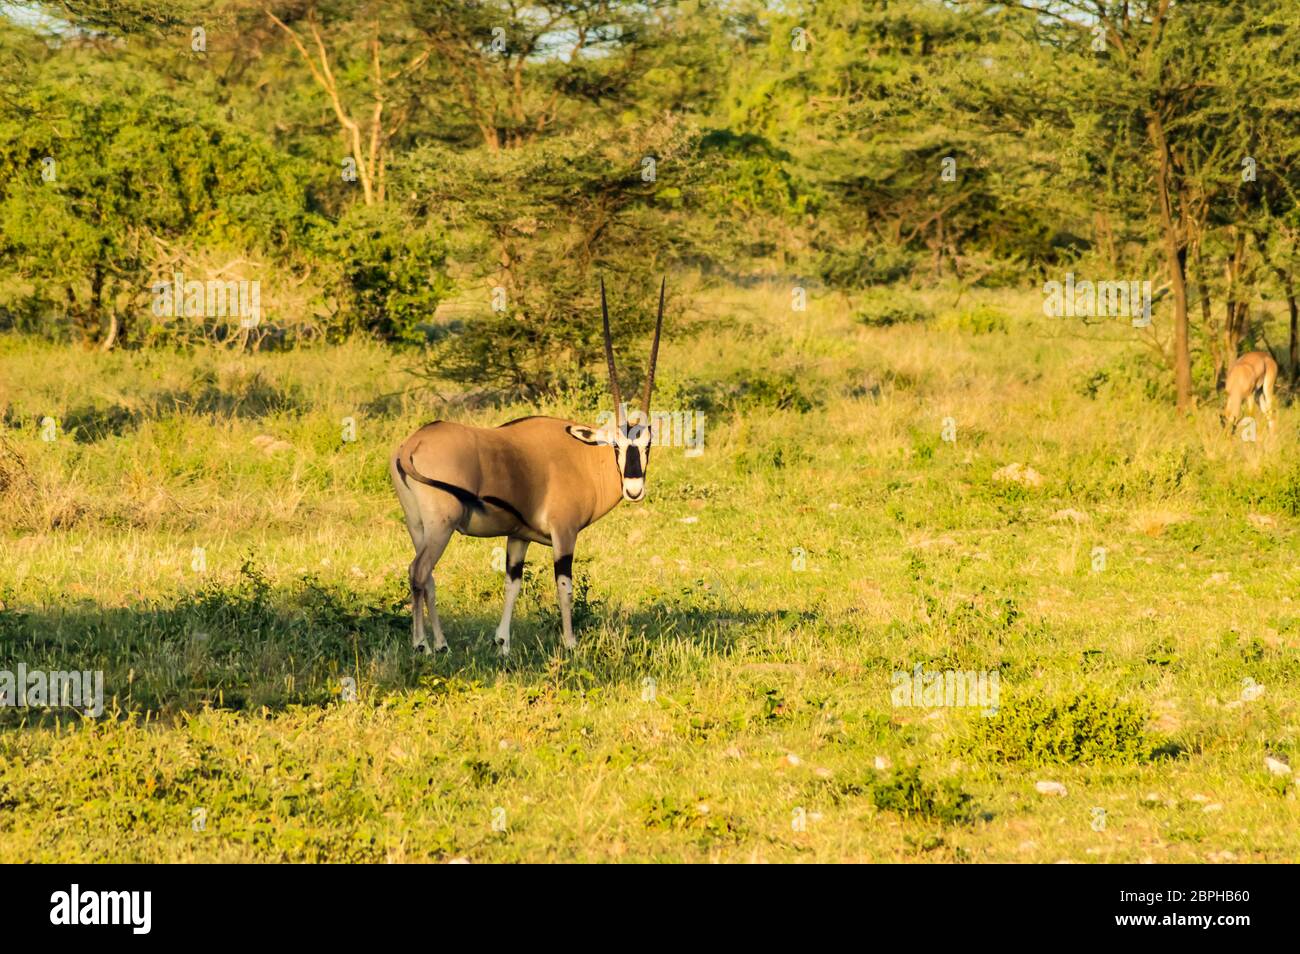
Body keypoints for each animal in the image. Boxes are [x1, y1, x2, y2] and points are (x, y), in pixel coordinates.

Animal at [390, 278, 665, 657]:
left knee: (424, 576)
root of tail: (412, 445)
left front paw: (503, 642)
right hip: (440, 526)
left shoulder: (518, 536)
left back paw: (440, 643)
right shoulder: (564, 534)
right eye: (616, 446)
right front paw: (570, 643)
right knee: (419, 571)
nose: (634, 488)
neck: (582, 456)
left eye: (647, 444)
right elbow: (564, 584)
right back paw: (423, 645)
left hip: (417, 526)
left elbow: (512, 583)